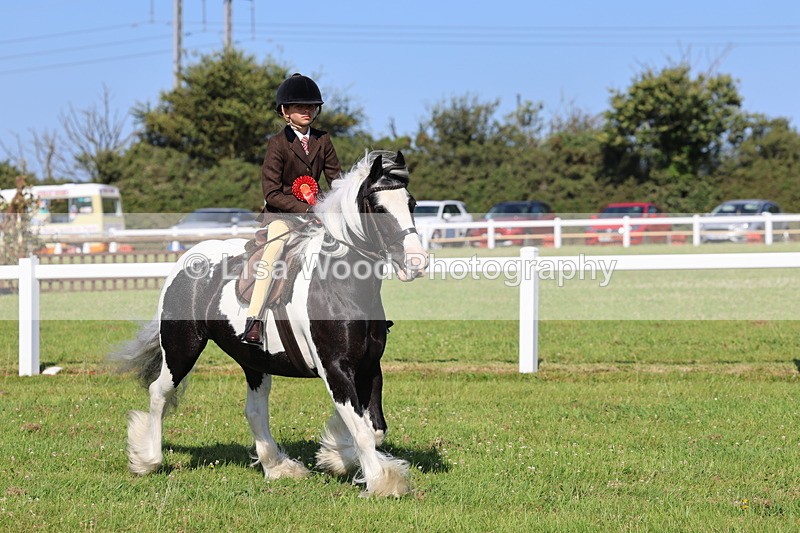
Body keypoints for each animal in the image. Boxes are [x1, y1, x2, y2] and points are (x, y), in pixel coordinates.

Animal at [113, 150, 428, 497]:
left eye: (411, 203)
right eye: (379, 208)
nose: (417, 262)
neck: (339, 283)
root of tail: (185, 260)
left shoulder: (370, 366)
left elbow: (374, 428)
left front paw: (336, 455)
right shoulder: (336, 368)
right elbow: (362, 430)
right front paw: (381, 482)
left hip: (253, 359)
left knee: (255, 410)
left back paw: (277, 466)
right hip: (182, 348)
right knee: (159, 393)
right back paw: (148, 460)